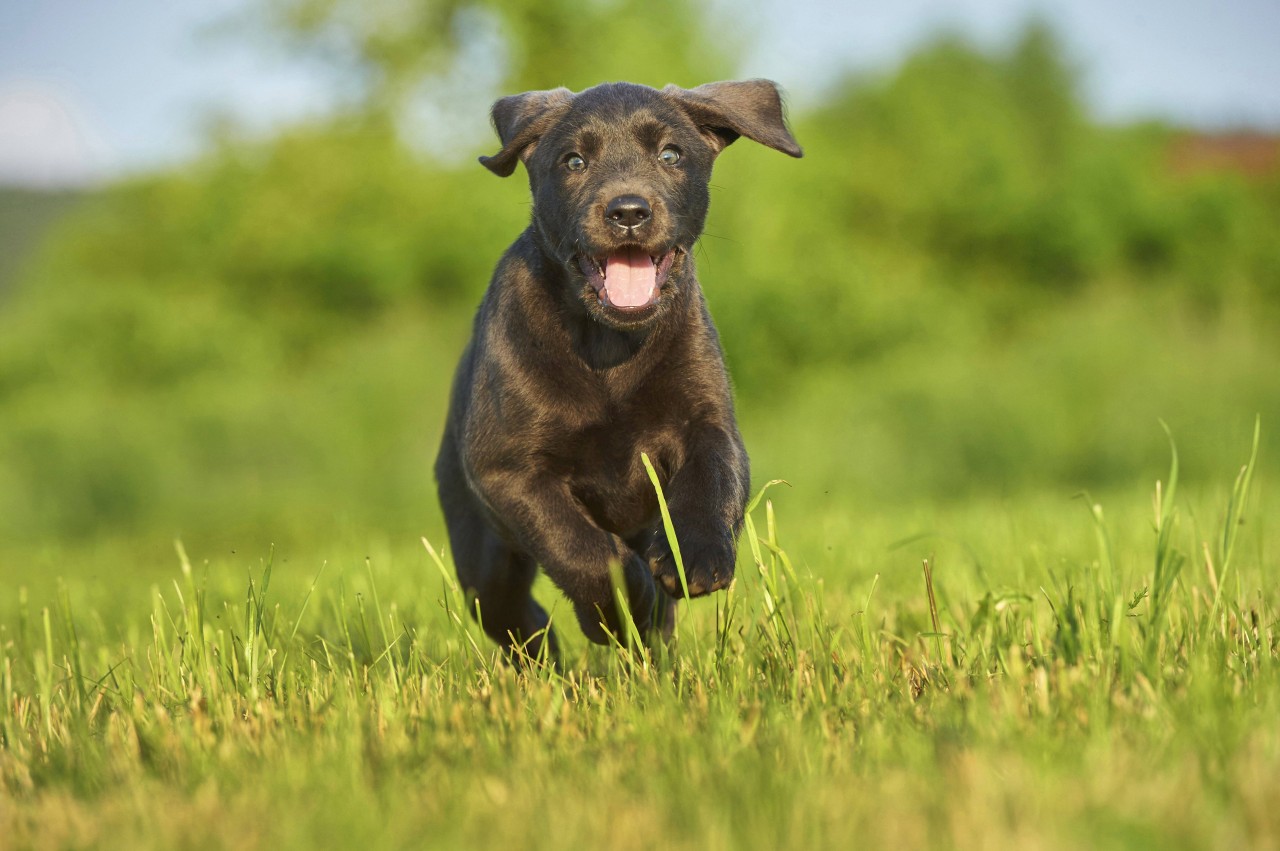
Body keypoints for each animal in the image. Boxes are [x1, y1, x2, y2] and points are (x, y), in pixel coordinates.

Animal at [435, 79, 803, 652]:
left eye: (671, 155)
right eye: (574, 161)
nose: (628, 211)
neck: (608, 348)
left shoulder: (708, 422)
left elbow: (713, 480)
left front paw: (694, 556)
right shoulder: (509, 470)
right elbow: (579, 548)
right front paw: (621, 606)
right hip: (482, 557)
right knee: (518, 620)